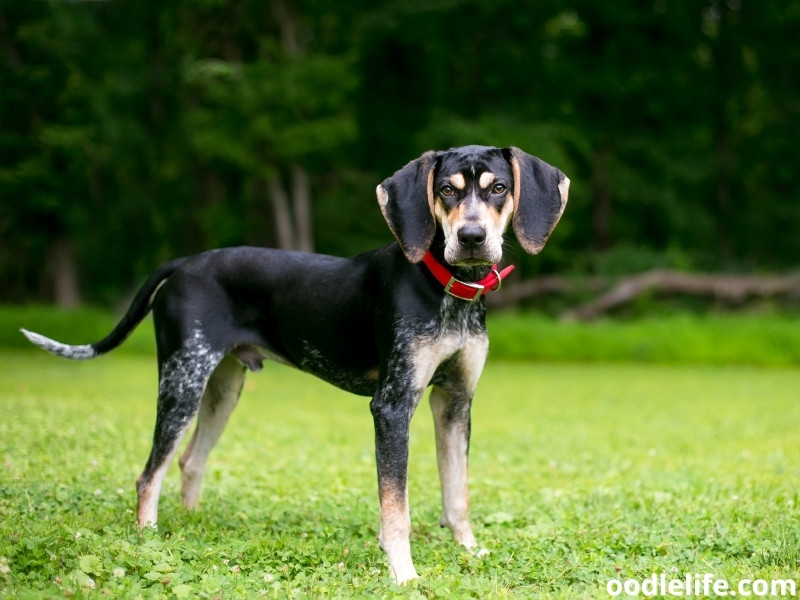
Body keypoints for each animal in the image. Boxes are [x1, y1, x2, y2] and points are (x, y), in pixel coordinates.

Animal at [20, 144, 568, 580]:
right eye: (447, 191)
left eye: (499, 188)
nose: (472, 237)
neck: (447, 289)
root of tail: (185, 263)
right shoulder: (392, 406)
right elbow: (397, 508)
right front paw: (404, 574)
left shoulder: (455, 402)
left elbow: (457, 494)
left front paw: (469, 552)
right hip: (181, 383)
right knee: (148, 474)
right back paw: (149, 538)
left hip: (222, 387)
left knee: (190, 460)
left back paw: (191, 524)